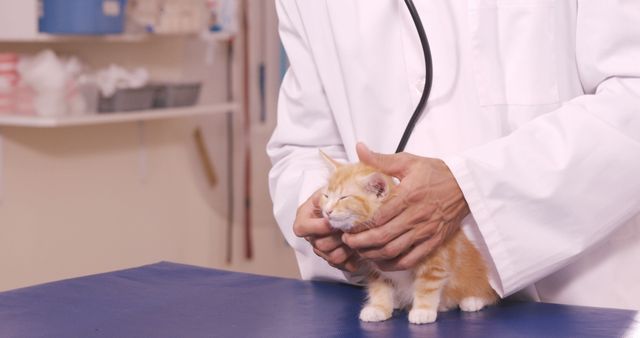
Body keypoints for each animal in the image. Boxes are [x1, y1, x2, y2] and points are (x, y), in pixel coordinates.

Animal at [318, 151, 498, 324]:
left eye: (343, 197)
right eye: (326, 196)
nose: (327, 211)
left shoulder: (435, 260)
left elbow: (427, 285)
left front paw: (423, 311)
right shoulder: (375, 267)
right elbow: (379, 287)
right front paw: (379, 307)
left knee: (486, 293)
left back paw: (473, 299)